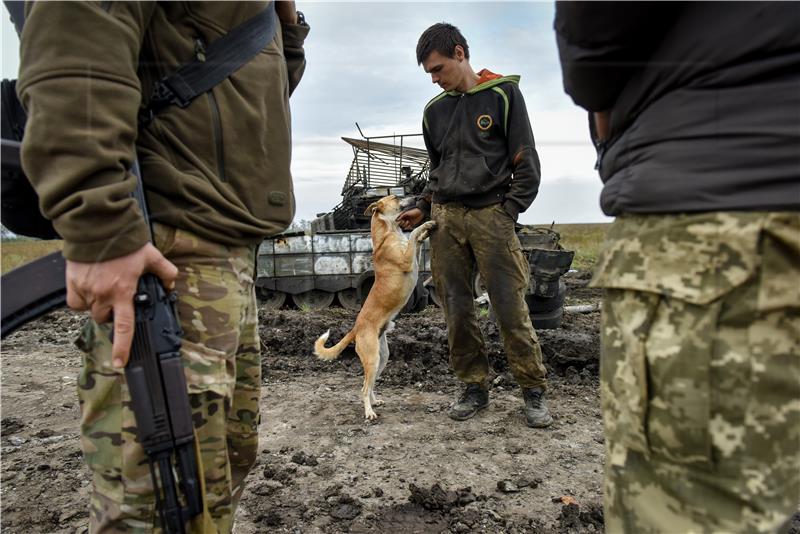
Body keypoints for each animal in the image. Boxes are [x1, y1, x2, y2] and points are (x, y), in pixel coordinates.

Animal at [314, 195, 438, 420]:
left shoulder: (412, 256)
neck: (389, 234)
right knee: (363, 387)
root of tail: (356, 328)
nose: (416, 197)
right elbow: (413, 235)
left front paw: (425, 232)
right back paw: (369, 412)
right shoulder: (407, 259)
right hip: (372, 359)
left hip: (382, 358)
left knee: (370, 385)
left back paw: (374, 402)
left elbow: (416, 241)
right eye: (397, 197)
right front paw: (425, 225)